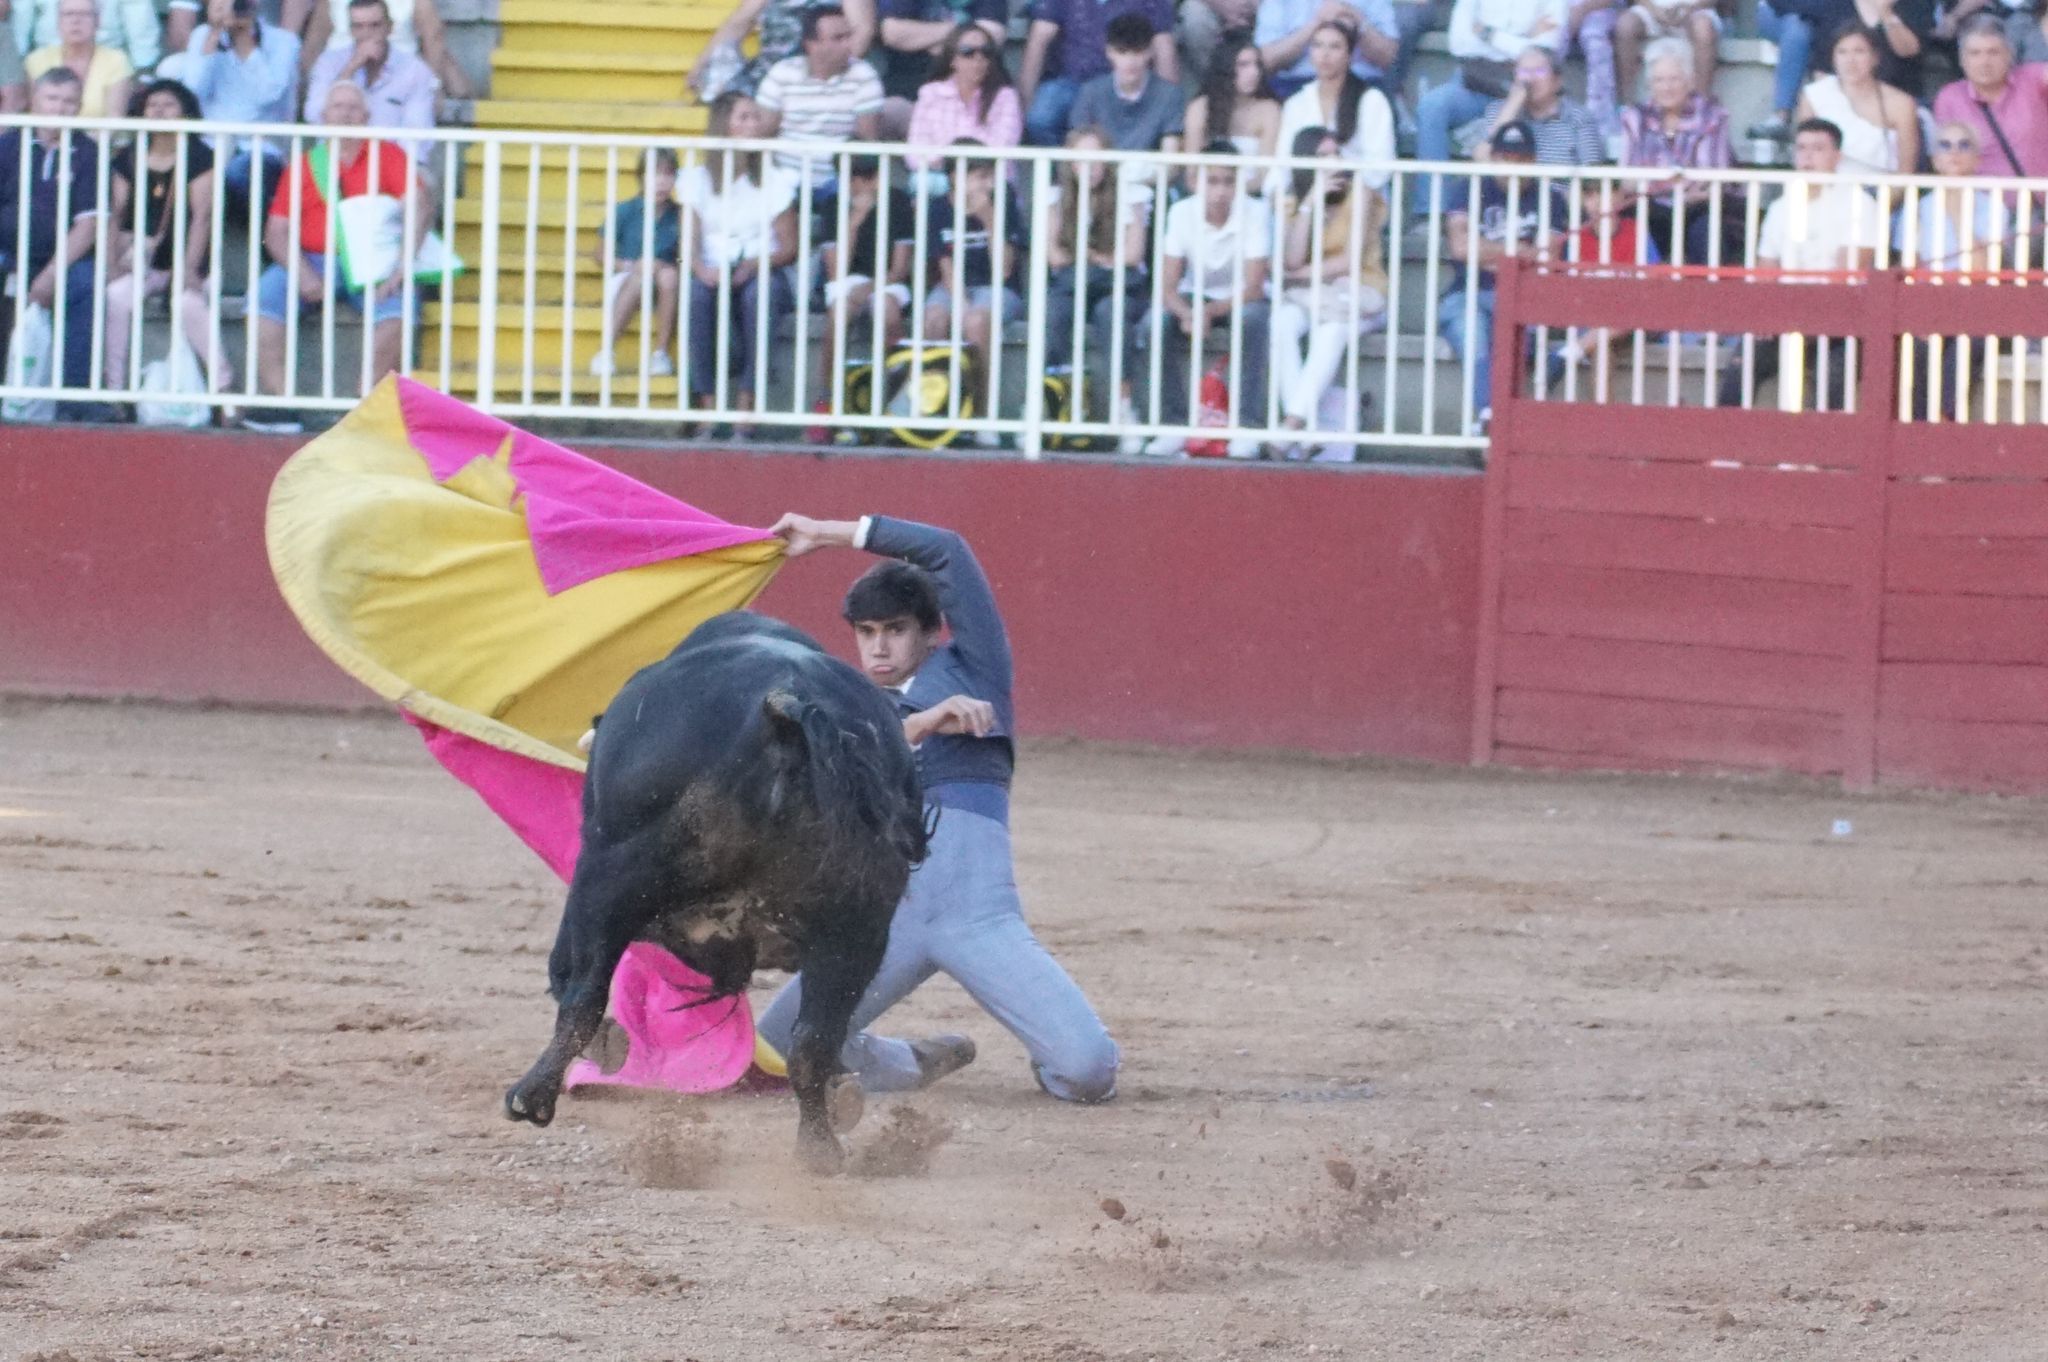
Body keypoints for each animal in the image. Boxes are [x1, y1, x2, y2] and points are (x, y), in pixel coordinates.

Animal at [503, 614, 929, 1171]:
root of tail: (785, 703)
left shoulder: (602, 878)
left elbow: (566, 969)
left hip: (611, 874)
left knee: (583, 992)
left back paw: (530, 1096)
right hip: (858, 928)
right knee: (812, 1040)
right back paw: (820, 1147)